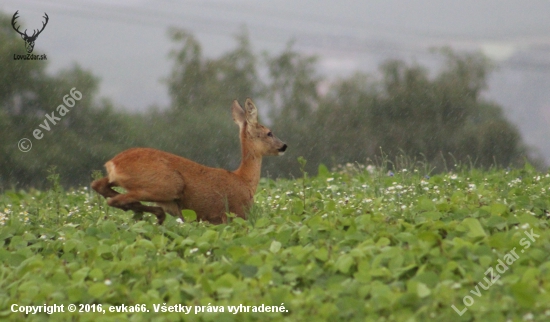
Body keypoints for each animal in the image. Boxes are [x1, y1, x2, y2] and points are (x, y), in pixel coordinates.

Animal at [90, 98, 288, 224]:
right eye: (269, 133)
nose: (284, 146)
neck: (244, 180)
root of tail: (114, 163)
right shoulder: (236, 214)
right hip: (167, 184)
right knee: (116, 200)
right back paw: (155, 215)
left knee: (98, 185)